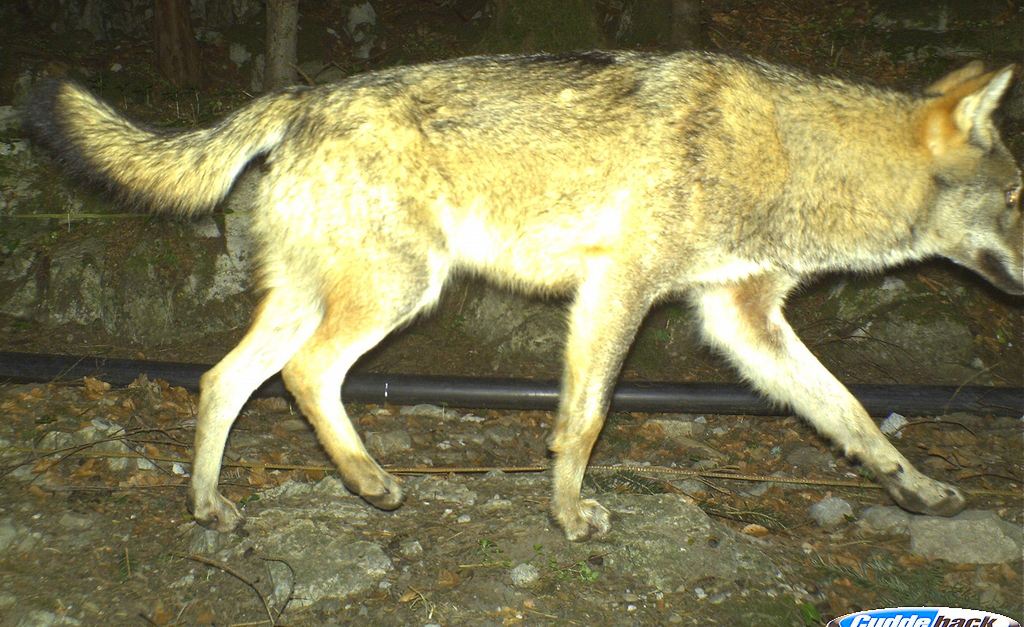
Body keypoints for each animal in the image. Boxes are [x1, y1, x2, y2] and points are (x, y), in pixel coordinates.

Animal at [24, 50, 1024, 536]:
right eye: (1018, 199)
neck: (791, 158)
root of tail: (296, 100)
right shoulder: (619, 288)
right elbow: (583, 421)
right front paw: (568, 515)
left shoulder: (741, 317)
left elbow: (851, 412)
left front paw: (919, 488)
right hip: (400, 291)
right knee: (306, 376)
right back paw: (366, 479)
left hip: (319, 299)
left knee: (220, 381)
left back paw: (208, 507)